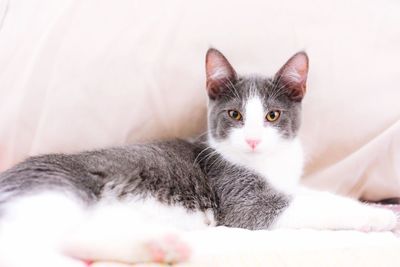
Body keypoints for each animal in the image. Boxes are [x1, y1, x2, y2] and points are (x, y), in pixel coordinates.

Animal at [0, 48, 396, 267]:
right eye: (235, 114)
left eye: (273, 116)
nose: (253, 140)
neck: (264, 162)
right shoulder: (242, 201)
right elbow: (312, 205)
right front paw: (379, 217)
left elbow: (317, 193)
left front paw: (383, 208)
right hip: (56, 188)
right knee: (25, 245)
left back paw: (157, 247)